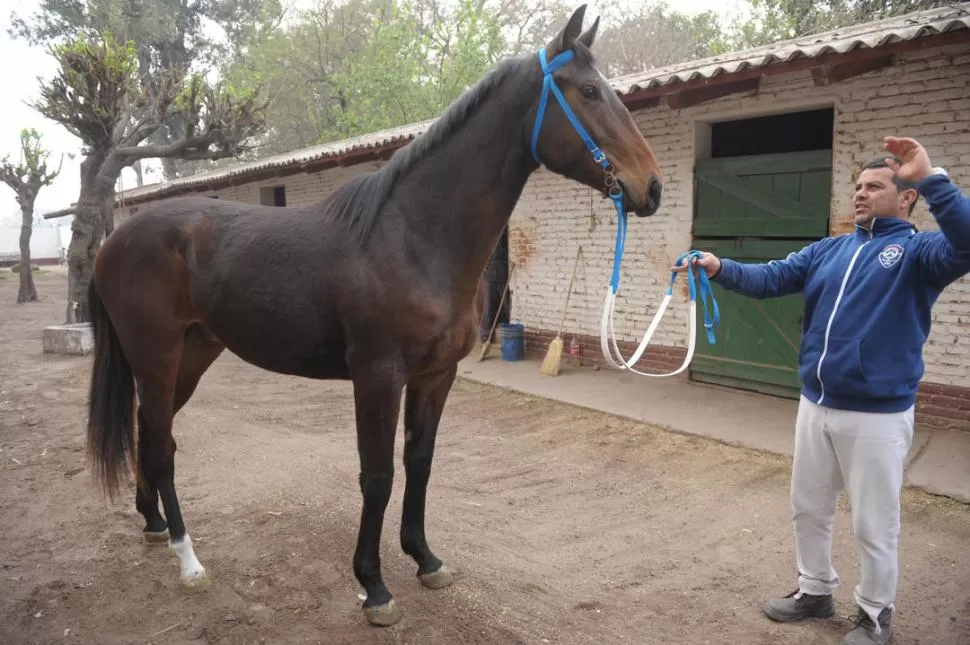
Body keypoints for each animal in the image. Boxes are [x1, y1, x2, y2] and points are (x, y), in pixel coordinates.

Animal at [83, 5, 660, 628]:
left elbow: (420, 462)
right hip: (157, 355)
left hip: (191, 354)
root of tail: (114, 242)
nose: (650, 187)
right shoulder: (378, 377)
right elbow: (377, 475)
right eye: (588, 92)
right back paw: (188, 560)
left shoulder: (436, 376)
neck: (414, 237)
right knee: (162, 446)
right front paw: (374, 586)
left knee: (150, 431)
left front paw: (425, 559)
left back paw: (154, 524)